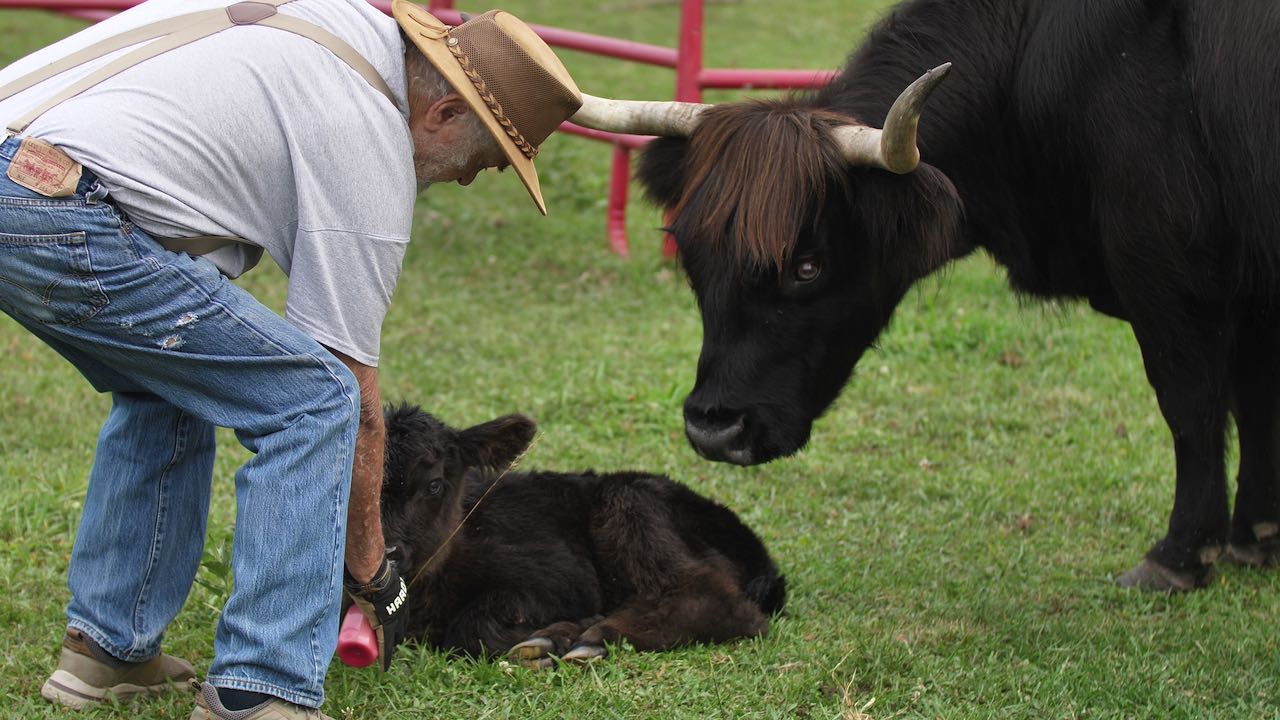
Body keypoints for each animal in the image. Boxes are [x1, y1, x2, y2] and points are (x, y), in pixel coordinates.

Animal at [373, 404, 783, 661]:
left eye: (434, 484)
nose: (387, 553)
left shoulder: (563, 576)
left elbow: (468, 628)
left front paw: (547, 639)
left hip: (630, 501)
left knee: (719, 603)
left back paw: (594, 635)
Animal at [565, 1, 1280, 589]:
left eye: (807, 266)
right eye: (691, 255)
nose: (713, 430)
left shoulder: (1170, 276)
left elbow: (1191, 407)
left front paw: (1181, 555)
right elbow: (1254, 402)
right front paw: (1256, 536)